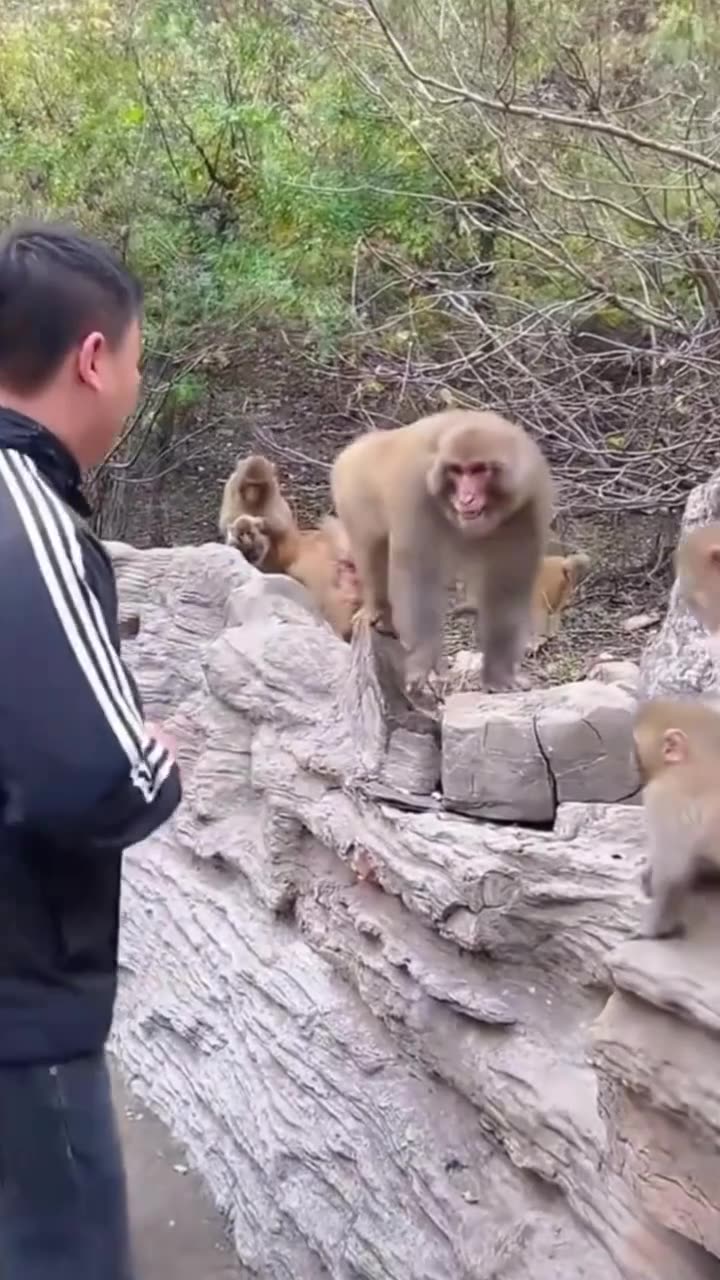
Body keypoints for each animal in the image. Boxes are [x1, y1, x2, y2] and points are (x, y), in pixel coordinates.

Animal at [331, 409, 553, 694]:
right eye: (457, 471)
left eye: (479, 469)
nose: (466, 498)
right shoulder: (416, 489)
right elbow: (419, 573)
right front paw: (423, 660)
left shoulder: (529, 503)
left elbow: (507, 586)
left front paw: (499, 675)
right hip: (353, 492)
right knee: (371, 549)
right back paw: (378, 610)